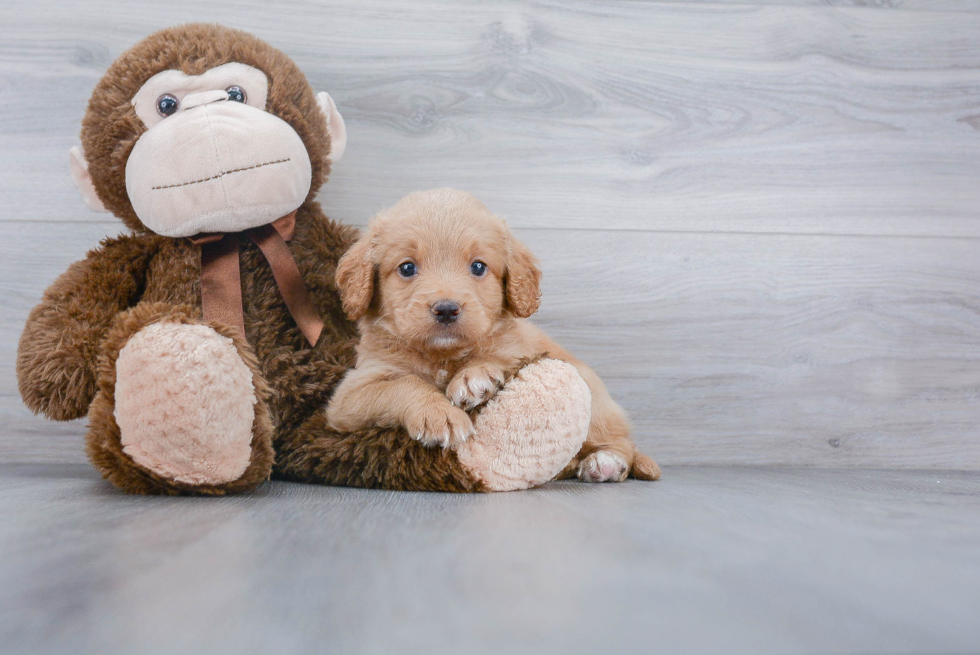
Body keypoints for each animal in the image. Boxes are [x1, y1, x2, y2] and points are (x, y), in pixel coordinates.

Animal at [328, 187, 660, 484]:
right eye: (407, 268)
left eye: (478, 266)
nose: (446, 309)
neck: (442, 357)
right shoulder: (350, 395)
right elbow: (402, 384)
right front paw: (439, 414)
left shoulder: (519, 348)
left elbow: (497, 354)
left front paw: (473, 377)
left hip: (593, 395)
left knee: (622, 443)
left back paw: (606, 462)